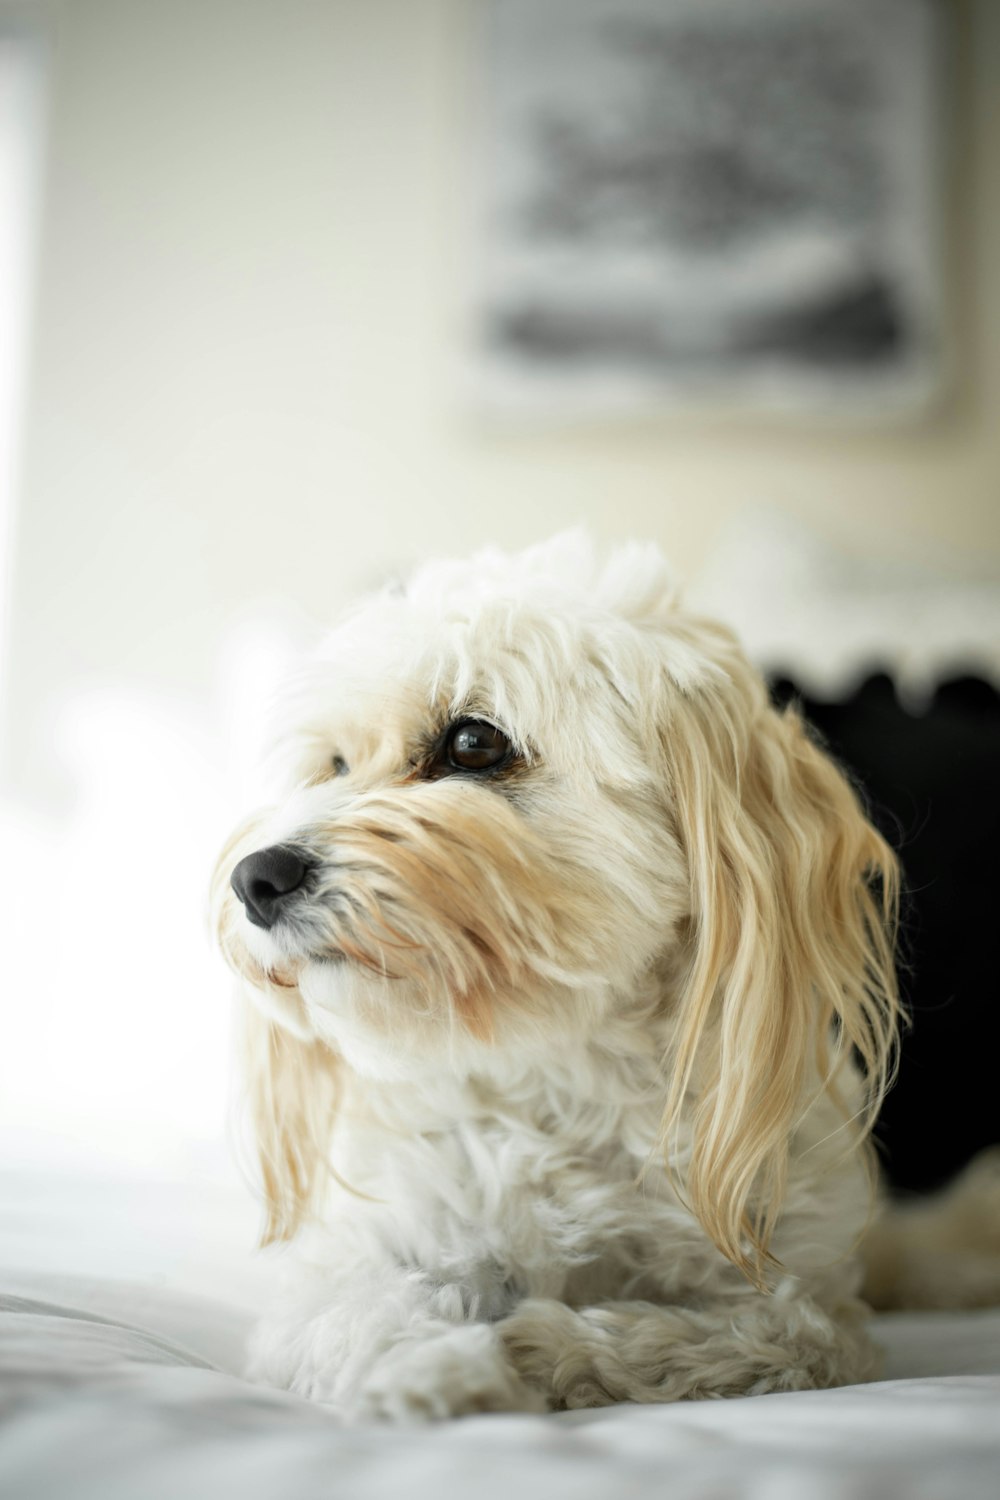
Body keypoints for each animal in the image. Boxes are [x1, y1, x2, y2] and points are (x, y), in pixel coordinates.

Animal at [209, 537, 899, 1416]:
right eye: (333, 764)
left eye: (473, 744)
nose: (254, 878)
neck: (563, 1074)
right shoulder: (347, 1268)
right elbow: (368, 1316)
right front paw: (434, 1372)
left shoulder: (810, 1309)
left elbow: (721, 1339)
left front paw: (535, 1347)